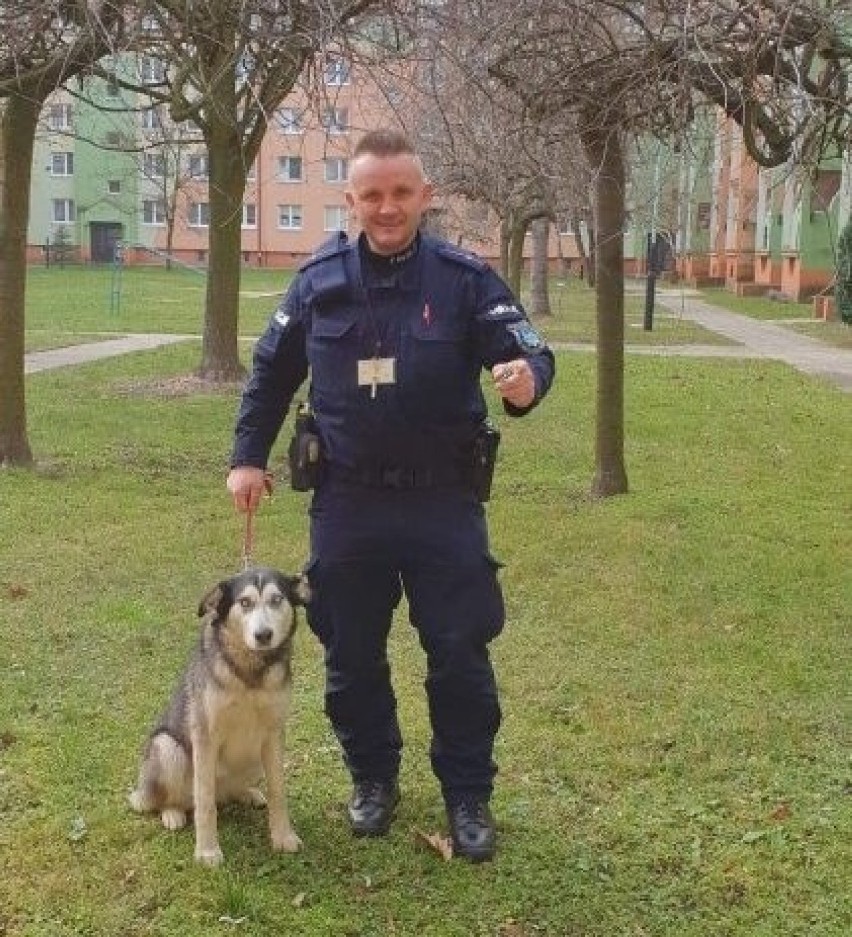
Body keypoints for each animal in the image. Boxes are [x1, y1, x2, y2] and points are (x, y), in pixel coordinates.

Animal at [128, 564, 312, 864]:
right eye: (245, 603)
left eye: (276, 600)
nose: (264, 635)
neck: (250, 671)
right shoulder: (205, 737)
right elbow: (204, 803)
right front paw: (207, 851)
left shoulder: (274, 734)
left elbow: (278, 792)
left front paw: (283, 836)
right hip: (167, 747)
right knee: (176, 799)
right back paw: (172, 813)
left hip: (255, 757)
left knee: (230, 792)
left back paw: (247, 793)